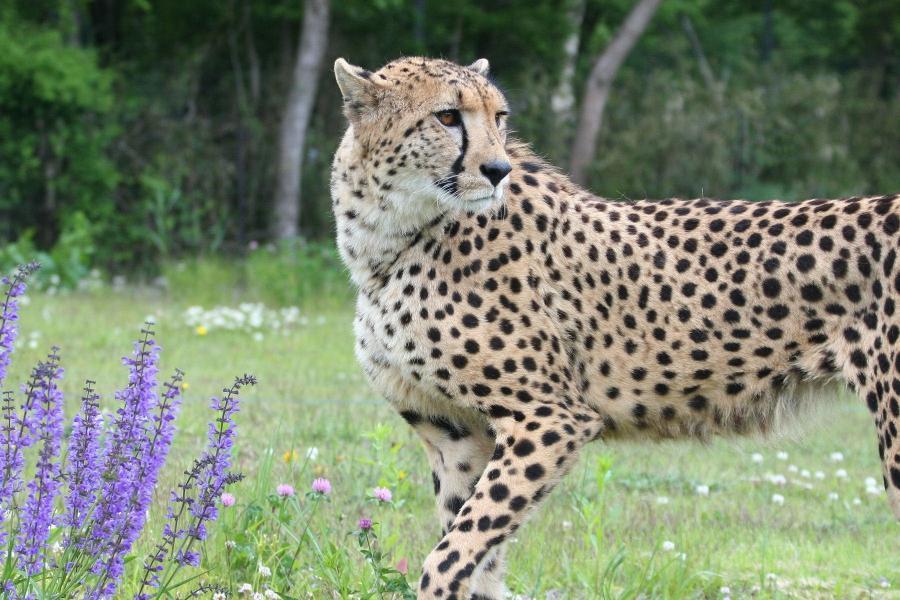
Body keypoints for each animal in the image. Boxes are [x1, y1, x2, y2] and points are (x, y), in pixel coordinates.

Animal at [330, 55, 900, 596]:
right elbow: (475, 560)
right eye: (447, 116)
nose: (497, 169)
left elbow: (449, 557)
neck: (390, 234)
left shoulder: (550, 418)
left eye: (499, 117)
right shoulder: (458, 436)